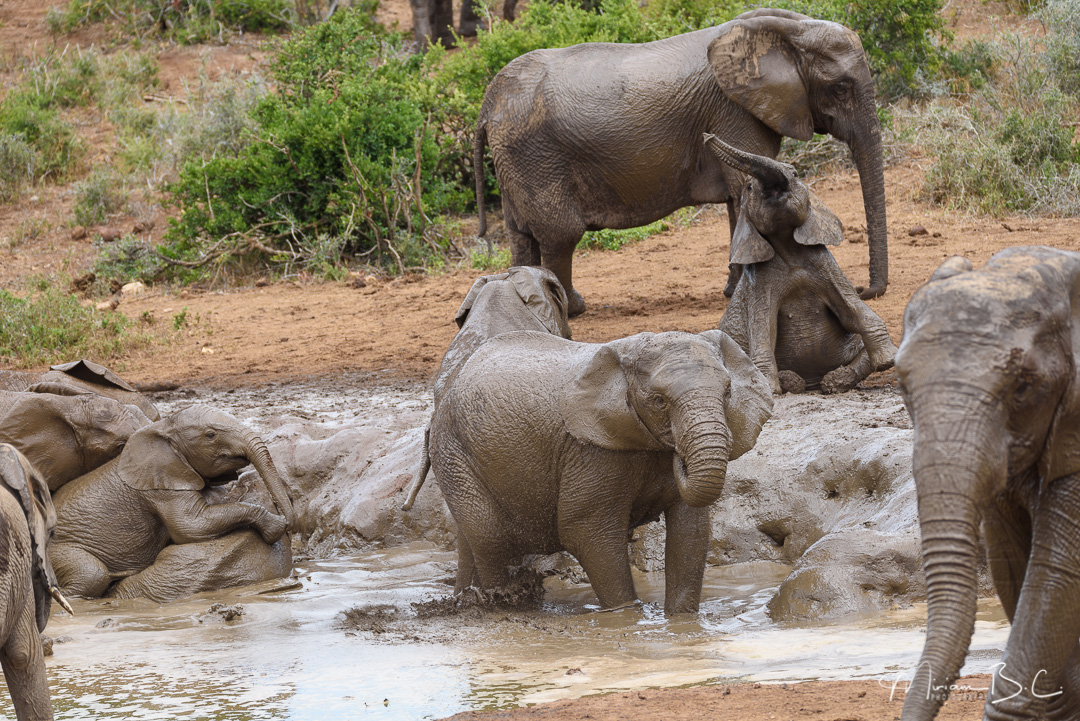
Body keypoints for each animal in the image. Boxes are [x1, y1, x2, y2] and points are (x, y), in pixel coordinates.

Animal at [50, 405, 295, 600]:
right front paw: (275, 527)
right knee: (92, 574)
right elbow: (191, 527)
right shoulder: (162, 488)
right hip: (59, 551)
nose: (288, 521)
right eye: (211, 435)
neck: (163, 428)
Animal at [429, 328, 772, 614]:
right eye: (659, 401)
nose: (679, 454)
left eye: (727, 393)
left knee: (472, 541)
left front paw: (682, 620)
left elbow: (691, 532)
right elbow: (586, 531)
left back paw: (466, 598)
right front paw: (625, 616)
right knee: (490, 536)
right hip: (451, 449)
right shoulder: (591, 452)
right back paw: (498, 602)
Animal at [473, 8, 888, 317]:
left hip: (516, 159)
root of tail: (488, 103)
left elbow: (741, 195)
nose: (866, 290)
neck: (789, 30)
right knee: (560, 235)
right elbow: (745, 187)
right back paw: (573, 307)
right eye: (840, 88)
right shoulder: (734, 111)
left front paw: (732, 289)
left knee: (522, 235)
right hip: (535, 156)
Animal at [708, 134, 896, 394]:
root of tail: (812, 383)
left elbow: (852, 310)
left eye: (795, 174)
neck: (789, 246)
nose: (707, 137)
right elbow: (764, 327)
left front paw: (888, 360)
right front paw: (770, 389)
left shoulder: (826, 266)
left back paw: (833, 381)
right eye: (749, 188)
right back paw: (792, 382)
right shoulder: (758, 282)